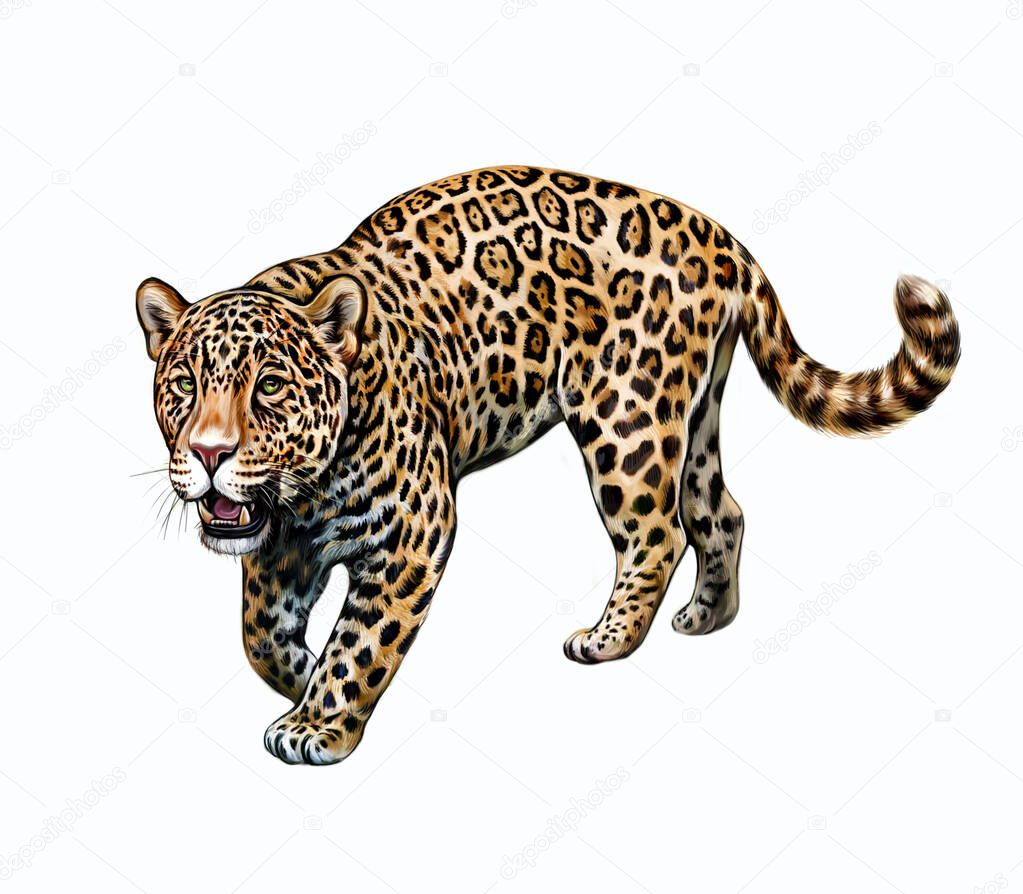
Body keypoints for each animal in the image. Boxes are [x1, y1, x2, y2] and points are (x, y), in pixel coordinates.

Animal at [136, 165, 961, 765]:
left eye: (269, 387)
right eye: (184, 385)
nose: (209, 454)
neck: (300, 498)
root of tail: (720, 237)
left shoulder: (412, 532)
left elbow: (362, 638)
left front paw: (319, 724)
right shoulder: (280, 547)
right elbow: (259, 635)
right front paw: (301, 679)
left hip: (627, 420)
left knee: (658, 531)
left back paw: (606, 640)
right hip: (694, 416)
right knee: (718, 510)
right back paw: (706, 617)